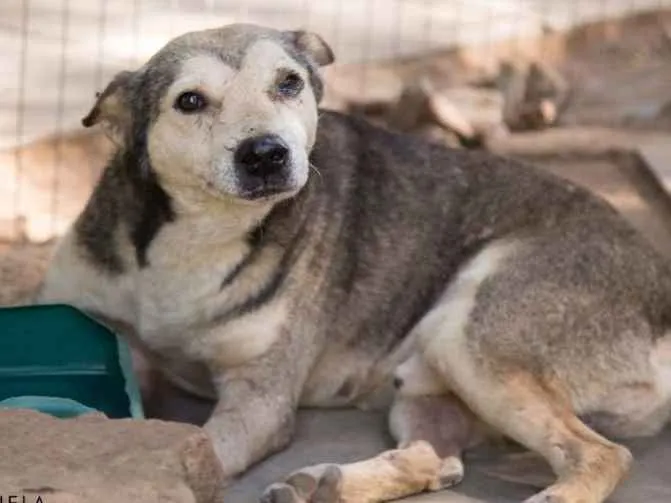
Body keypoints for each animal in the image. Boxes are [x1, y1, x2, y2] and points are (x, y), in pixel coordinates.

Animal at [34, 22, 671, 503]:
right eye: (189, 101)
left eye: (288, 83)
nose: (266, 154)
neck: (197, 235)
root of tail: (661, 289)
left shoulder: (259, 401)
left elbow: (199, 452)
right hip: (427, 380)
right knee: (436, 460)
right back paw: (328, 485)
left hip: (473, 338)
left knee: (603, 453)